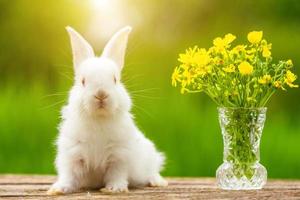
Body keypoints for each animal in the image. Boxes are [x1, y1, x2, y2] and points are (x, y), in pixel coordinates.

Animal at [48, 26, 168, 195]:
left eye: (115, 80)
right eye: (83, 81)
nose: (101, 94)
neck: (99, 119)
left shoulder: (119, 156)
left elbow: (116, 174)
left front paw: (114, 189)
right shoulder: (72, 155)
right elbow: (69, 175)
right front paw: (58, 189)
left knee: (153, 172)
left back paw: (158, 182)